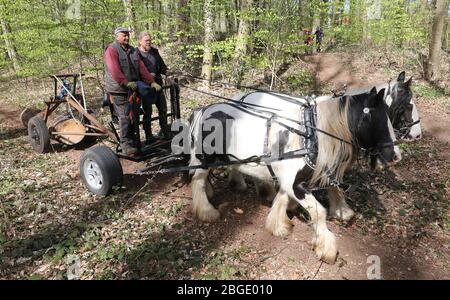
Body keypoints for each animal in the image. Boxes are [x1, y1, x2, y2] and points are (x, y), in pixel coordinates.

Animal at [188, 86, 400, 262]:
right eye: (378, 120)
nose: (396, 156)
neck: (309, 135)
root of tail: (203, 110)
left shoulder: (293, 179)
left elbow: (286, 196)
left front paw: (279, 223)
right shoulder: (295, 184)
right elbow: (319, 212)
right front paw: (326, 248)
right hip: (203, 160)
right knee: (197, 181)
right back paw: (207, 211)